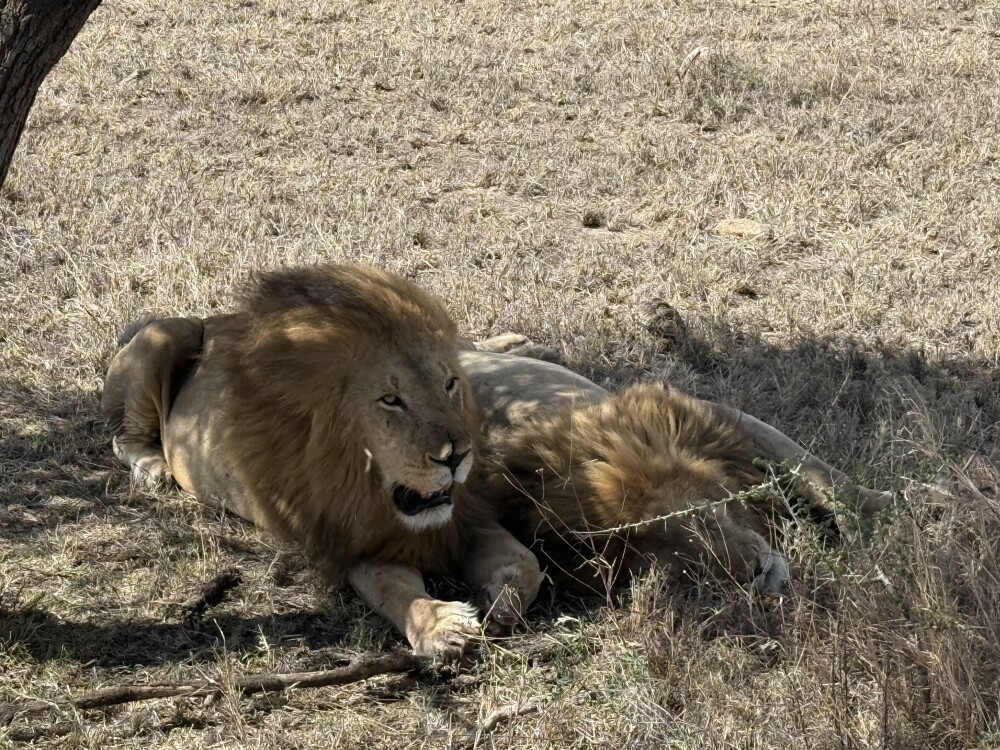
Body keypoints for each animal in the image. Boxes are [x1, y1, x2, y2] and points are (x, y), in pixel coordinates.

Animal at [101, 265, 542, 659]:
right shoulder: (358, 546)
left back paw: (519, 343)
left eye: (449, 384)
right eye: (391, 400)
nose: (458, 457)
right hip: (167, 338)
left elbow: (527, 561)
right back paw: (154, 469)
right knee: (122, 437)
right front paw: (441, 626)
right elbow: (398, 593)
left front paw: (501, 597)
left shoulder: (463, 517)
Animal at [458, 340, 891, 597]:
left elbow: (821, 475)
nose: (757, 571)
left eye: (704, 519)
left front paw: (878, 522)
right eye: (690, 567)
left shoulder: (716, 418)